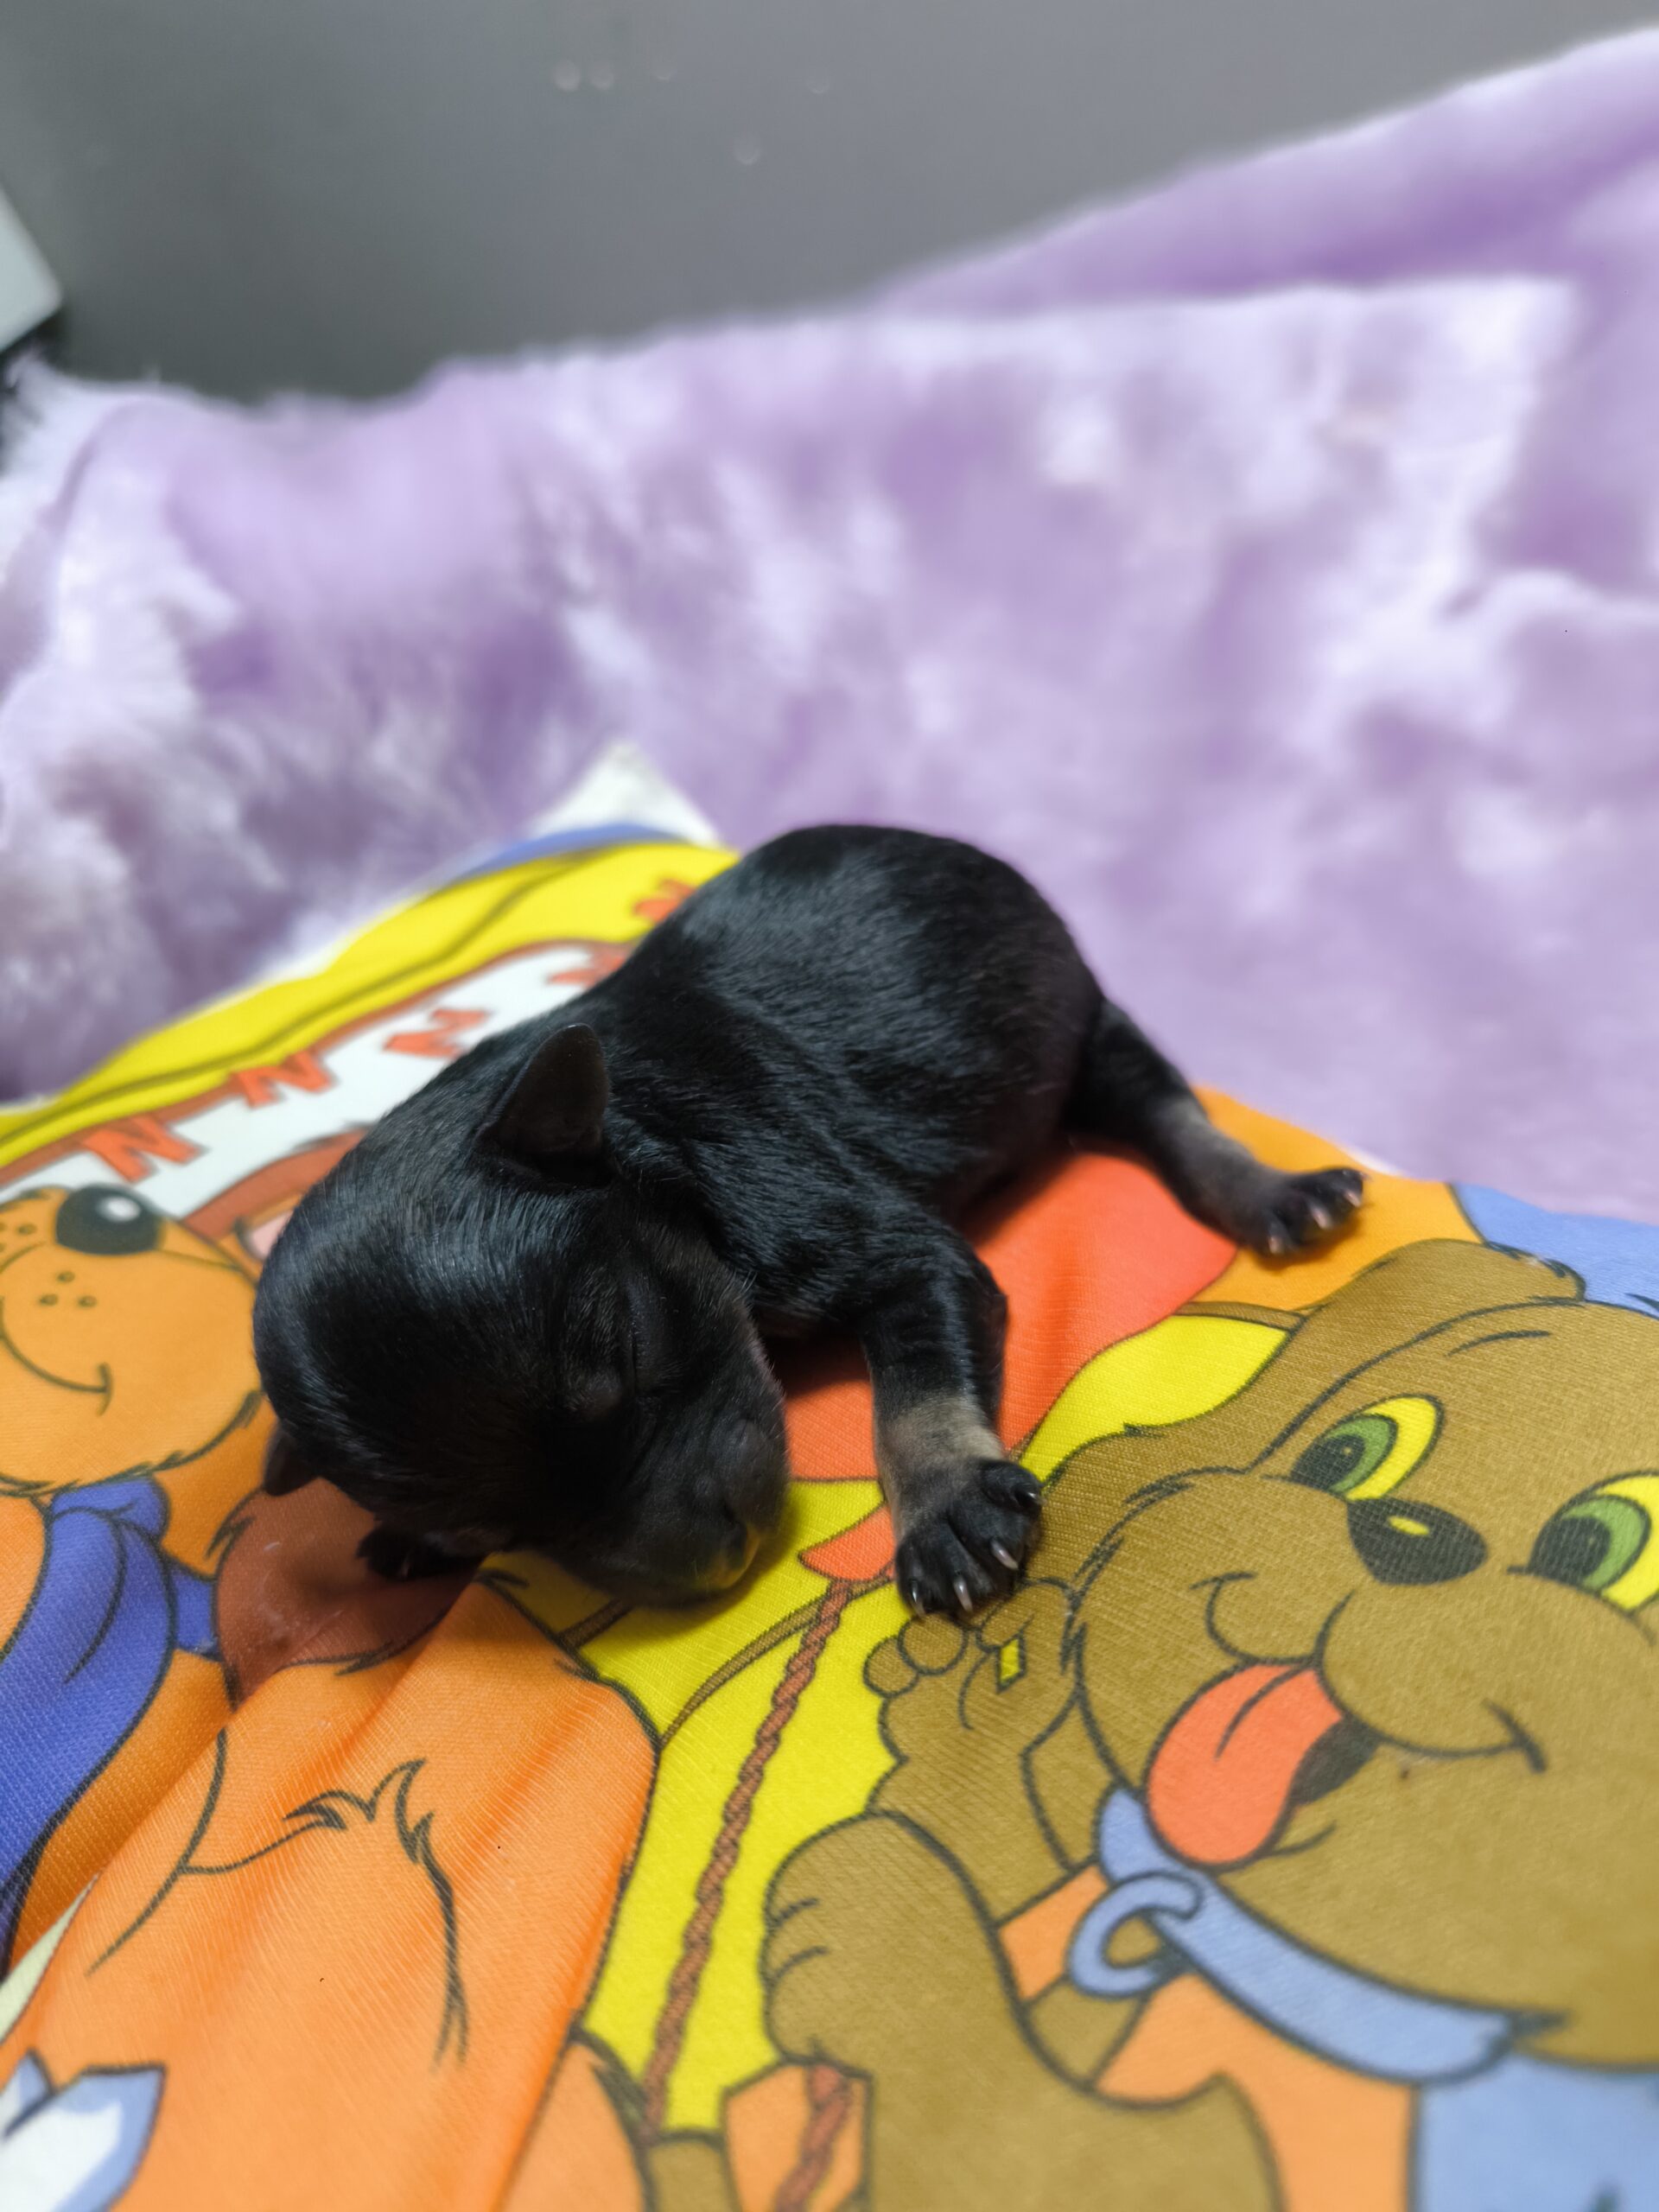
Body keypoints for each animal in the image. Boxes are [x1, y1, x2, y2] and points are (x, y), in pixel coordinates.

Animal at [252, 827, 1362, 1614]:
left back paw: (1277, 1193)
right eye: (489, 1534)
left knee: (1170, 1112)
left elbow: (914, 1390)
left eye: (632, 1341)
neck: (641, 1142)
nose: (715, 1564)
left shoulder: (877, 1242)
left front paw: (945, 1509)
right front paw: (408, 1543)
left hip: (1080, 1022)